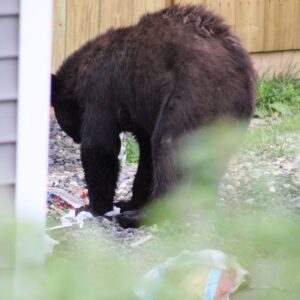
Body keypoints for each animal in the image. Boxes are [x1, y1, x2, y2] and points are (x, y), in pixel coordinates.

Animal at [51, 4, 255, 227]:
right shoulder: (141, 111)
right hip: (230, 118)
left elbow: (99, 146)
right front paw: (130, 202)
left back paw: (142, 216)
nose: (75, 138)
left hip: (191, 94)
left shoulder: (100, 92)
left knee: (169, 145)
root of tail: (241, 70)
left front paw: (93, 207)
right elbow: (146, 155)